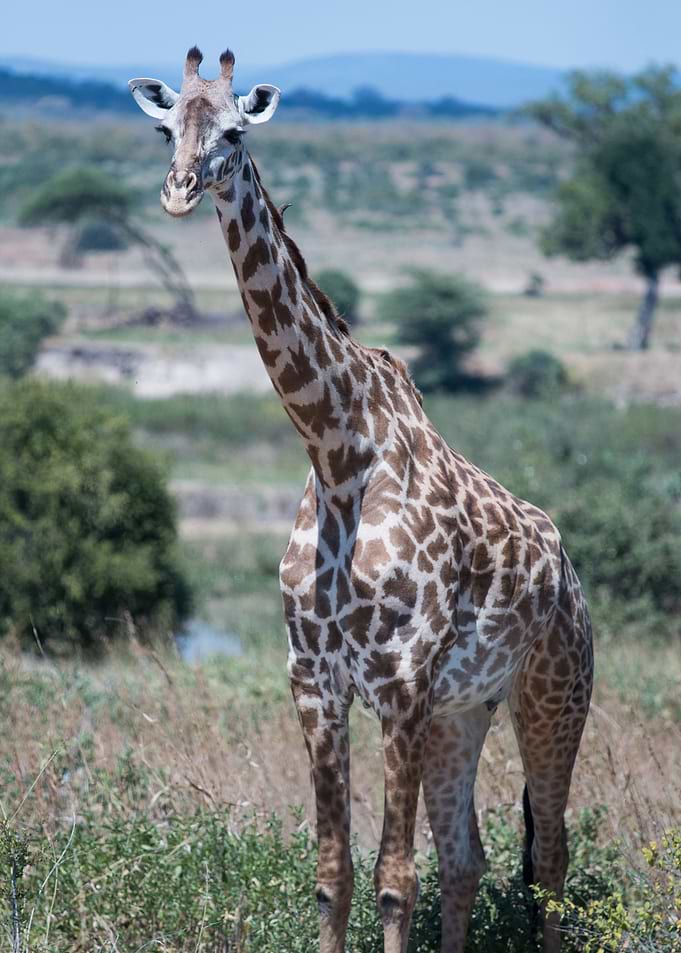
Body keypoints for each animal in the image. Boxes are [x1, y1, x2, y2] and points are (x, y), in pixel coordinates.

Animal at [129, 48, 594, 953]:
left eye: (234, 131)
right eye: (167, 129)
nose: (178, 190)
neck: (336, 451)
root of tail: (566, 569)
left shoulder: (400, 682)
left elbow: (392, 878)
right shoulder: (315, 681)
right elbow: (333, 874)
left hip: (552, 693)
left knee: (549, 859)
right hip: (465, 711)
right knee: (468, 857)